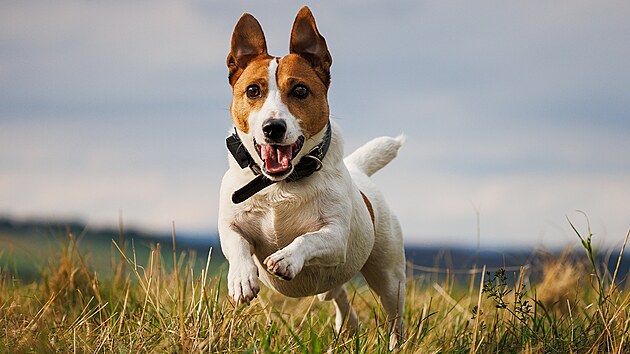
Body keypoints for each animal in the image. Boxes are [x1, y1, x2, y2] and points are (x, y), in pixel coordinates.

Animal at [220, 6, 408, 348]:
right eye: (253, 90)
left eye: (300, 91)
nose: (273, 128)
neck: (281, 184)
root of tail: (359, 170)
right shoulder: (230, 222)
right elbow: (235, 242)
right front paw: (241, 279)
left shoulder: (335, 236)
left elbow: (309, 238)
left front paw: (286, 258)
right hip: (337, 283)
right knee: (337, 294)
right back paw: (347, 324)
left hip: (388, 275)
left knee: (394, 317)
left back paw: (394, 344)